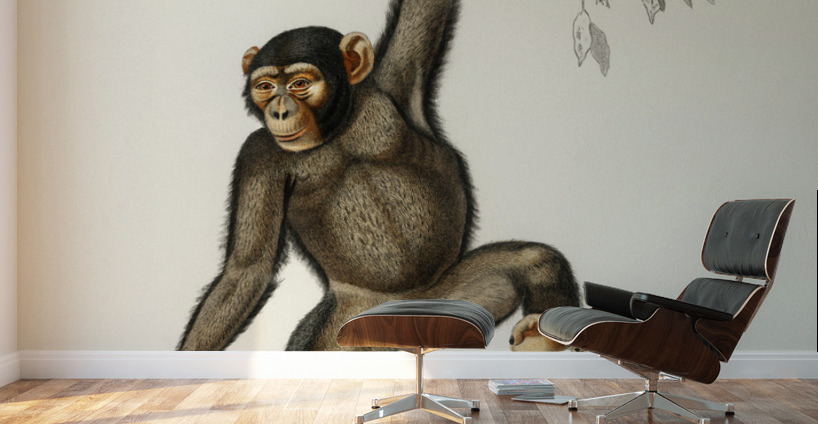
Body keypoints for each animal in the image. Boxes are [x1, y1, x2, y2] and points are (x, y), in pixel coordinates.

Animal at [178, 0, 580, 352]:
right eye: (264, 87)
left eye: (299, 83)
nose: (278, 110)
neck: (336, 132)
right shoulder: (258, 158)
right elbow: (247, 270)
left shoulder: (395, 75)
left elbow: (424, 12)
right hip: (347, 330)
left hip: (453, 299)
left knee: (534, 262)